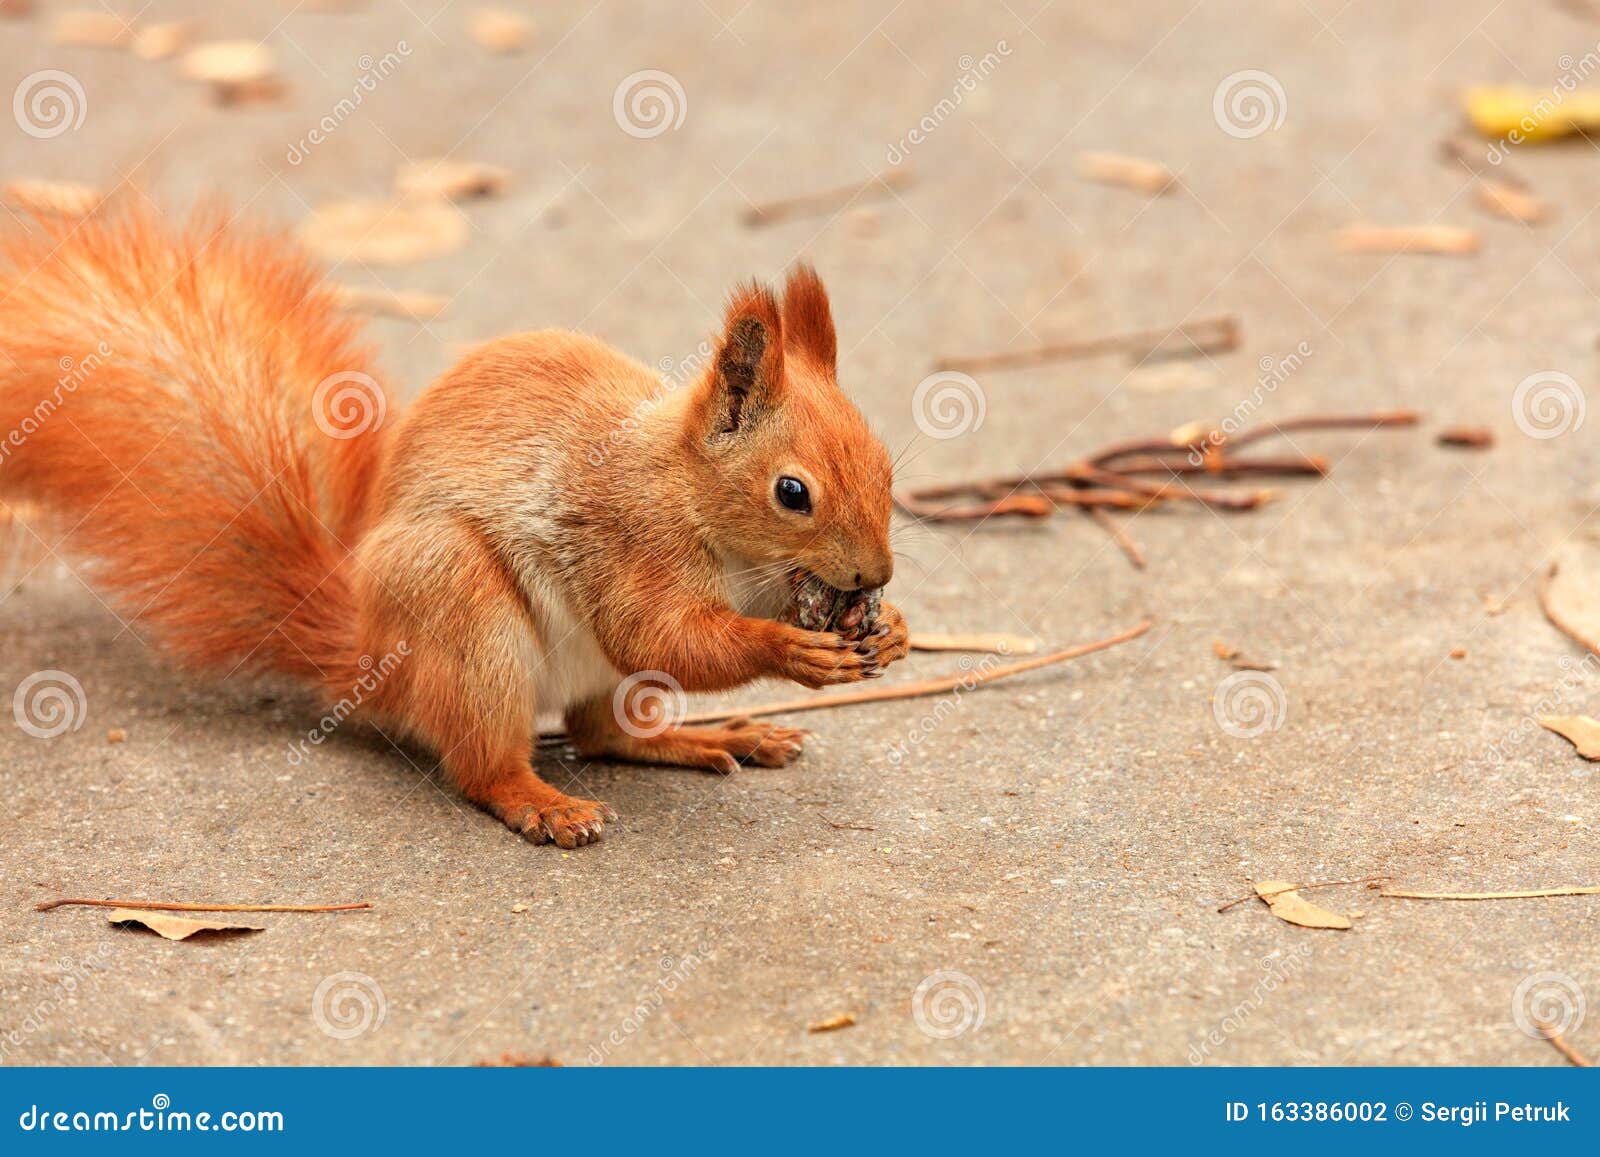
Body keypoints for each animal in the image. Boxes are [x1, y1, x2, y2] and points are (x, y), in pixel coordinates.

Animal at [0, 207, 910, 848]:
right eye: (792, 492)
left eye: (884, 462)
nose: (875, 576)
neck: (691, 497)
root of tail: (368, 657)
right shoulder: (629, 539)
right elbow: (661, 632)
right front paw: (792, 649)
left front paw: (891, 629)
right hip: (462, 608)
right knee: (485, 765)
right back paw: (543, 803)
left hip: (585, 674)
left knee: (602, 731)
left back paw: (711, 735)